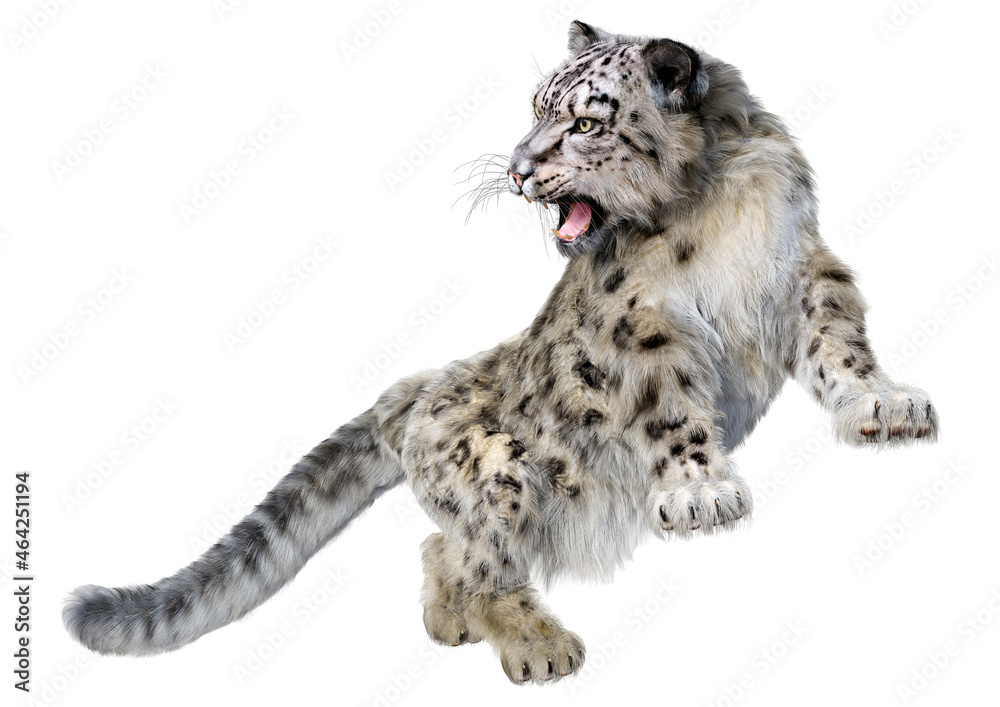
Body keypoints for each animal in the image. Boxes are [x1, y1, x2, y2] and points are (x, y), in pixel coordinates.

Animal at [63, 21, 939, 685]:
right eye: (537, 107)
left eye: (586, 122)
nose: (517, 169)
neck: (714, 204)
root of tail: (414, 389)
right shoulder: (645, 325)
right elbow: (670, 410)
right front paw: (699, 489)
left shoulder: (803, 270)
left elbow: (839, 343)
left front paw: (885, 403)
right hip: (502, 468)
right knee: (482, 556)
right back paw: (535, 643)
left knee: (443, 547)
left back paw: (452, 622)